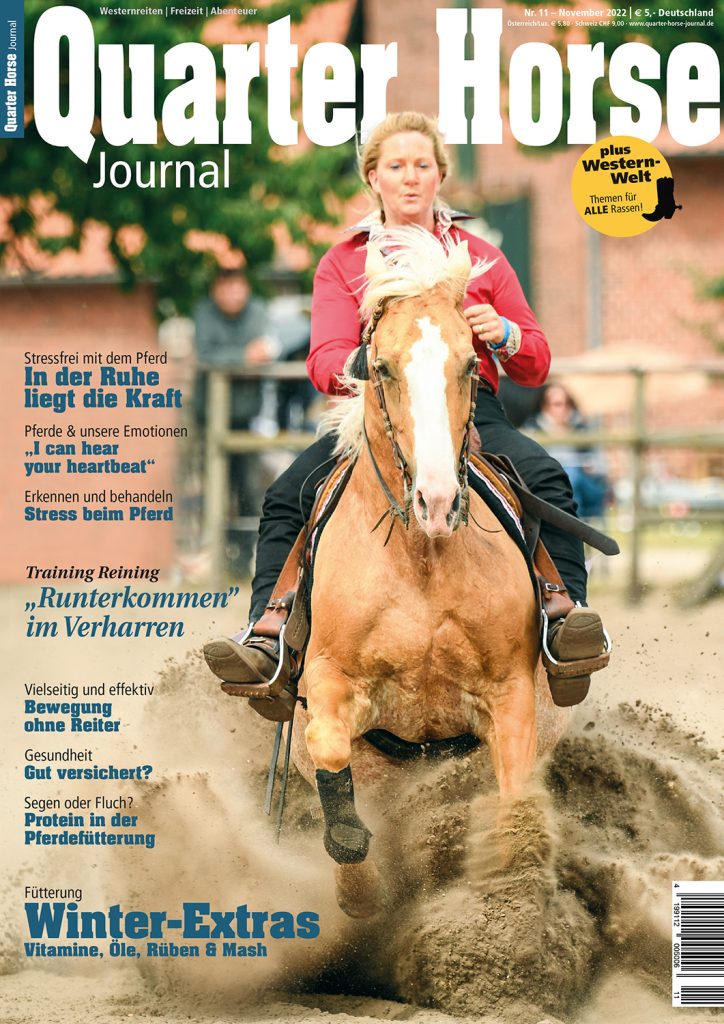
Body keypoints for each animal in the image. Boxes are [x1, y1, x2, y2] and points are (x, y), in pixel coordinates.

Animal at [290, 228, 569, 917]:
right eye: (381, 367)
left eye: (471, 363)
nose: (438, 502)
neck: (420, 561)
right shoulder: (332, 682)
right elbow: (333, 762)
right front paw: (361, 894)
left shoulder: (510, 697)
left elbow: (515, 815)